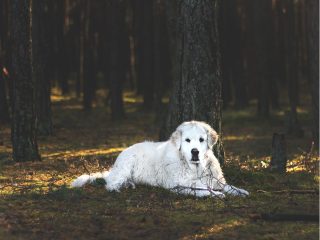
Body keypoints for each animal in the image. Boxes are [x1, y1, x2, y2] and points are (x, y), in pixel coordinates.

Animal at [71, 121, 249, 198]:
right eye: (187, 140)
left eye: (201, 140)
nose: (195, 152)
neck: (194, 167)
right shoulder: (179, 185)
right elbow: (203, 189)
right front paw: (216, 194)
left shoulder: (215, 179)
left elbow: (228, 186)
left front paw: (240, 191)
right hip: (125, 167)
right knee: (111, 182)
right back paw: (116, 188)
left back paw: (129, 185)